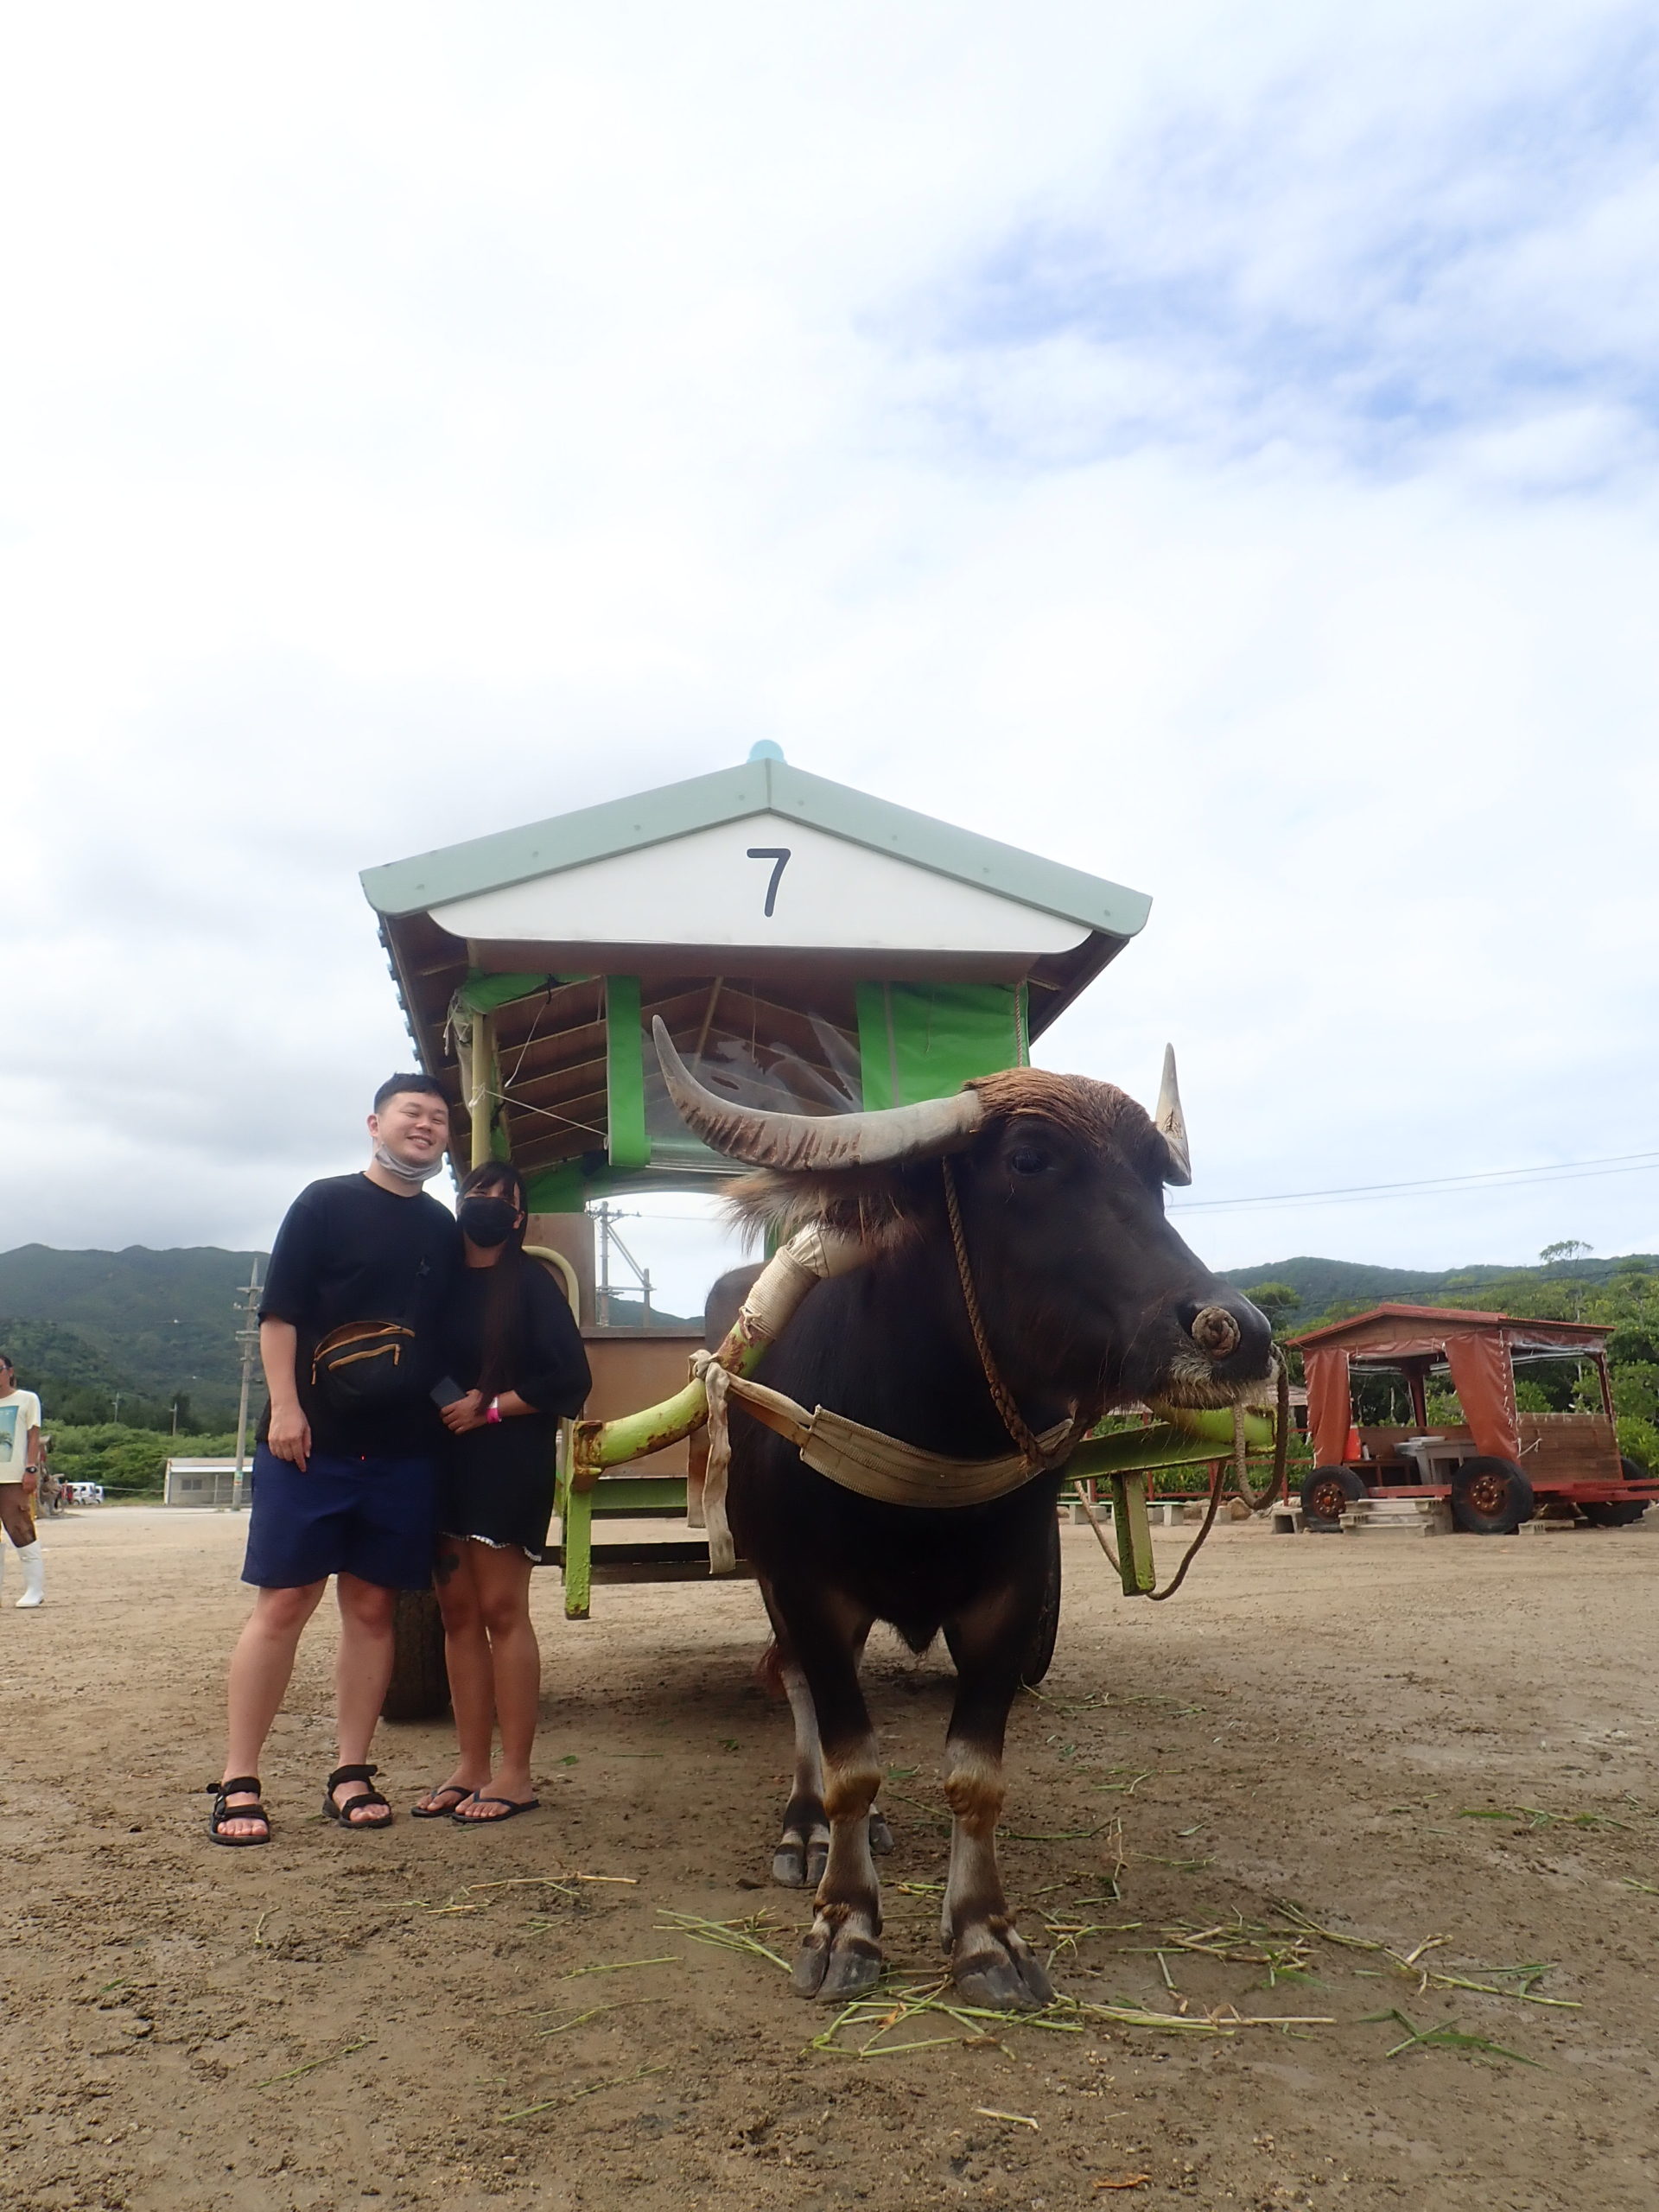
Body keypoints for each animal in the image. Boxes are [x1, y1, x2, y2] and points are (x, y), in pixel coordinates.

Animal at [654, 1026, 1265, 2017]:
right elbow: (853, 1761)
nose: (1237, 1330)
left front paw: (984, 1933)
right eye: (1028, 1160)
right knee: (799, 1692)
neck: (924, 1415)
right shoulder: (809, 1588)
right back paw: (805, 1830)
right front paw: (844, 1921)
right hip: (768, 1576)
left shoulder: (1010, 1596)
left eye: (1156, 1179)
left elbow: (974, 1777)